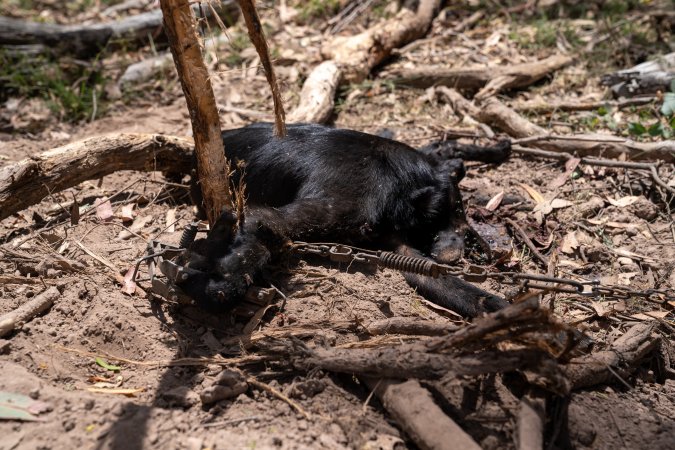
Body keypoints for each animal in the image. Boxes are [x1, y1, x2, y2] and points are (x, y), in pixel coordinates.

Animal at [182, 122, 510, 316]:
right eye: (457, 210)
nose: (461, 252)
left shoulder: (399, 247)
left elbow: (450, 284)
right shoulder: (335, 204)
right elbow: (263, 227)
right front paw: (219, 280)